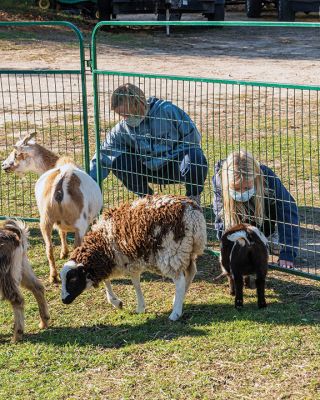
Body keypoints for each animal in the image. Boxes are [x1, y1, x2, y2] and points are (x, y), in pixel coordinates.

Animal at [1, 133, 102, 282]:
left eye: (16, 154)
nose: (4, 165)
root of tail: (61, 182)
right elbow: (62, 232)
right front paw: (64, 253)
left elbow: (61, 232)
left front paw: (63, 253)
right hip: (80, 223)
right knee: (75, 247)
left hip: (45, 220)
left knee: (49, 248)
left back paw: (53, 276)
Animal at [59, 195, 206, 322]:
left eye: (73, 279)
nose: (64, 300)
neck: (102, 243)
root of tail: (193, 215)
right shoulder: (113, 262)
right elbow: (108, 280)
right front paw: (117, 302)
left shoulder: (127, 261)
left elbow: (135, 283)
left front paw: (139, 307)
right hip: (187, 250)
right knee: (191, 272)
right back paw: (177, 300)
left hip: (171, 253)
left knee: (180, 281)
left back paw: (175, 313)